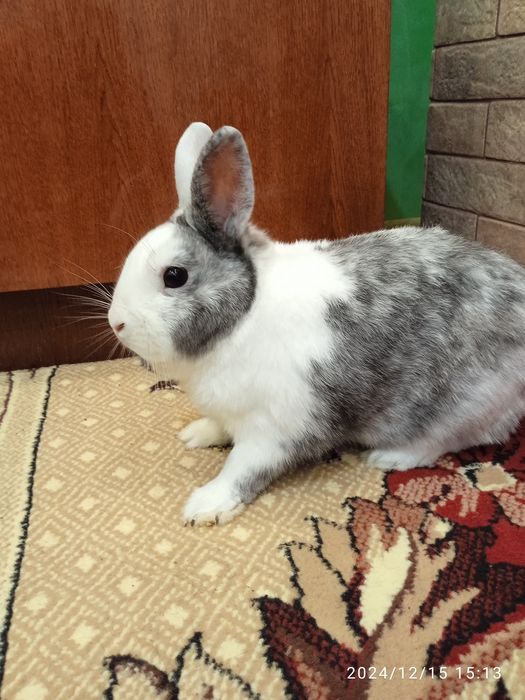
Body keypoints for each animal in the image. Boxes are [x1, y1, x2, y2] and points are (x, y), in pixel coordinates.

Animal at [108, 121, 525, 526]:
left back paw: (390, 457)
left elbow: (242, 469)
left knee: (445, 440)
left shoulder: (274, 427)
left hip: (460, 404)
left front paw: (206, 506)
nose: (116, 323)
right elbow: (221, 428)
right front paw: (198, 434)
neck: (242, 316)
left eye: (174, 276)